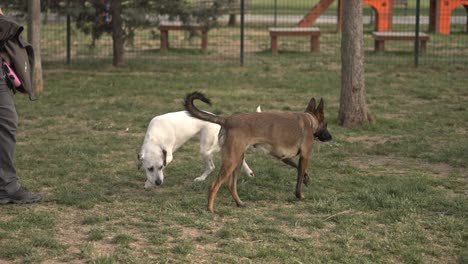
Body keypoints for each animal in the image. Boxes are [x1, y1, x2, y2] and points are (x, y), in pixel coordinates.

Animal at [184, 92, 332, 212]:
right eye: (326, 124)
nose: (330, 137)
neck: (309, 120)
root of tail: (227, 119)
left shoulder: (284, 157)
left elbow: (300, 170)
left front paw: (306, 180)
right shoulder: (305, 156)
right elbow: (299, 177)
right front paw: (300, 195)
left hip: (238, 159)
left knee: (231, 185)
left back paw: (239, 203)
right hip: (232, 160)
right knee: (214, 185)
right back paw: (210, 209)